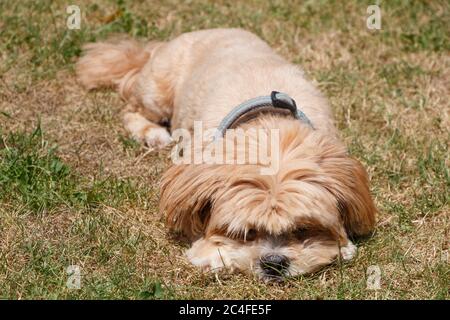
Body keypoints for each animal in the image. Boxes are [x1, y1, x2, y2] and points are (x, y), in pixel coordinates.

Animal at [76, 29, 376, 280]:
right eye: (246, 233)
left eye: (303, 230)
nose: (274, 262)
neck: (271, 130)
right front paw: (215, 254)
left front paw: (341, 246)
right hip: (156, 93)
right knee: (131, 110)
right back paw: (152, 133)